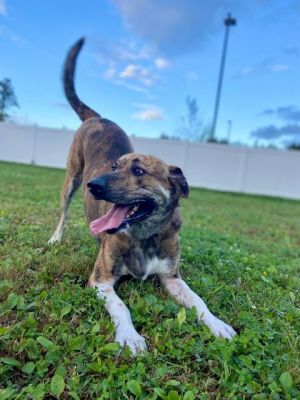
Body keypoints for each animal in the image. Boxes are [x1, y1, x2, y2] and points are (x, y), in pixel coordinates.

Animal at [48, 37, 237, 354]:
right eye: (114, 167)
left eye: (138, 171)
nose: (94, 185)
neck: (145, 235)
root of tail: (98, 118)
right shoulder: (100, 280)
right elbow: (121, 306)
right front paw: (130, 335)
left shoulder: (172, 278)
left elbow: (199, 301)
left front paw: (216, 323)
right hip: (71, 179)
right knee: (62, 211)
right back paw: (55, 238)